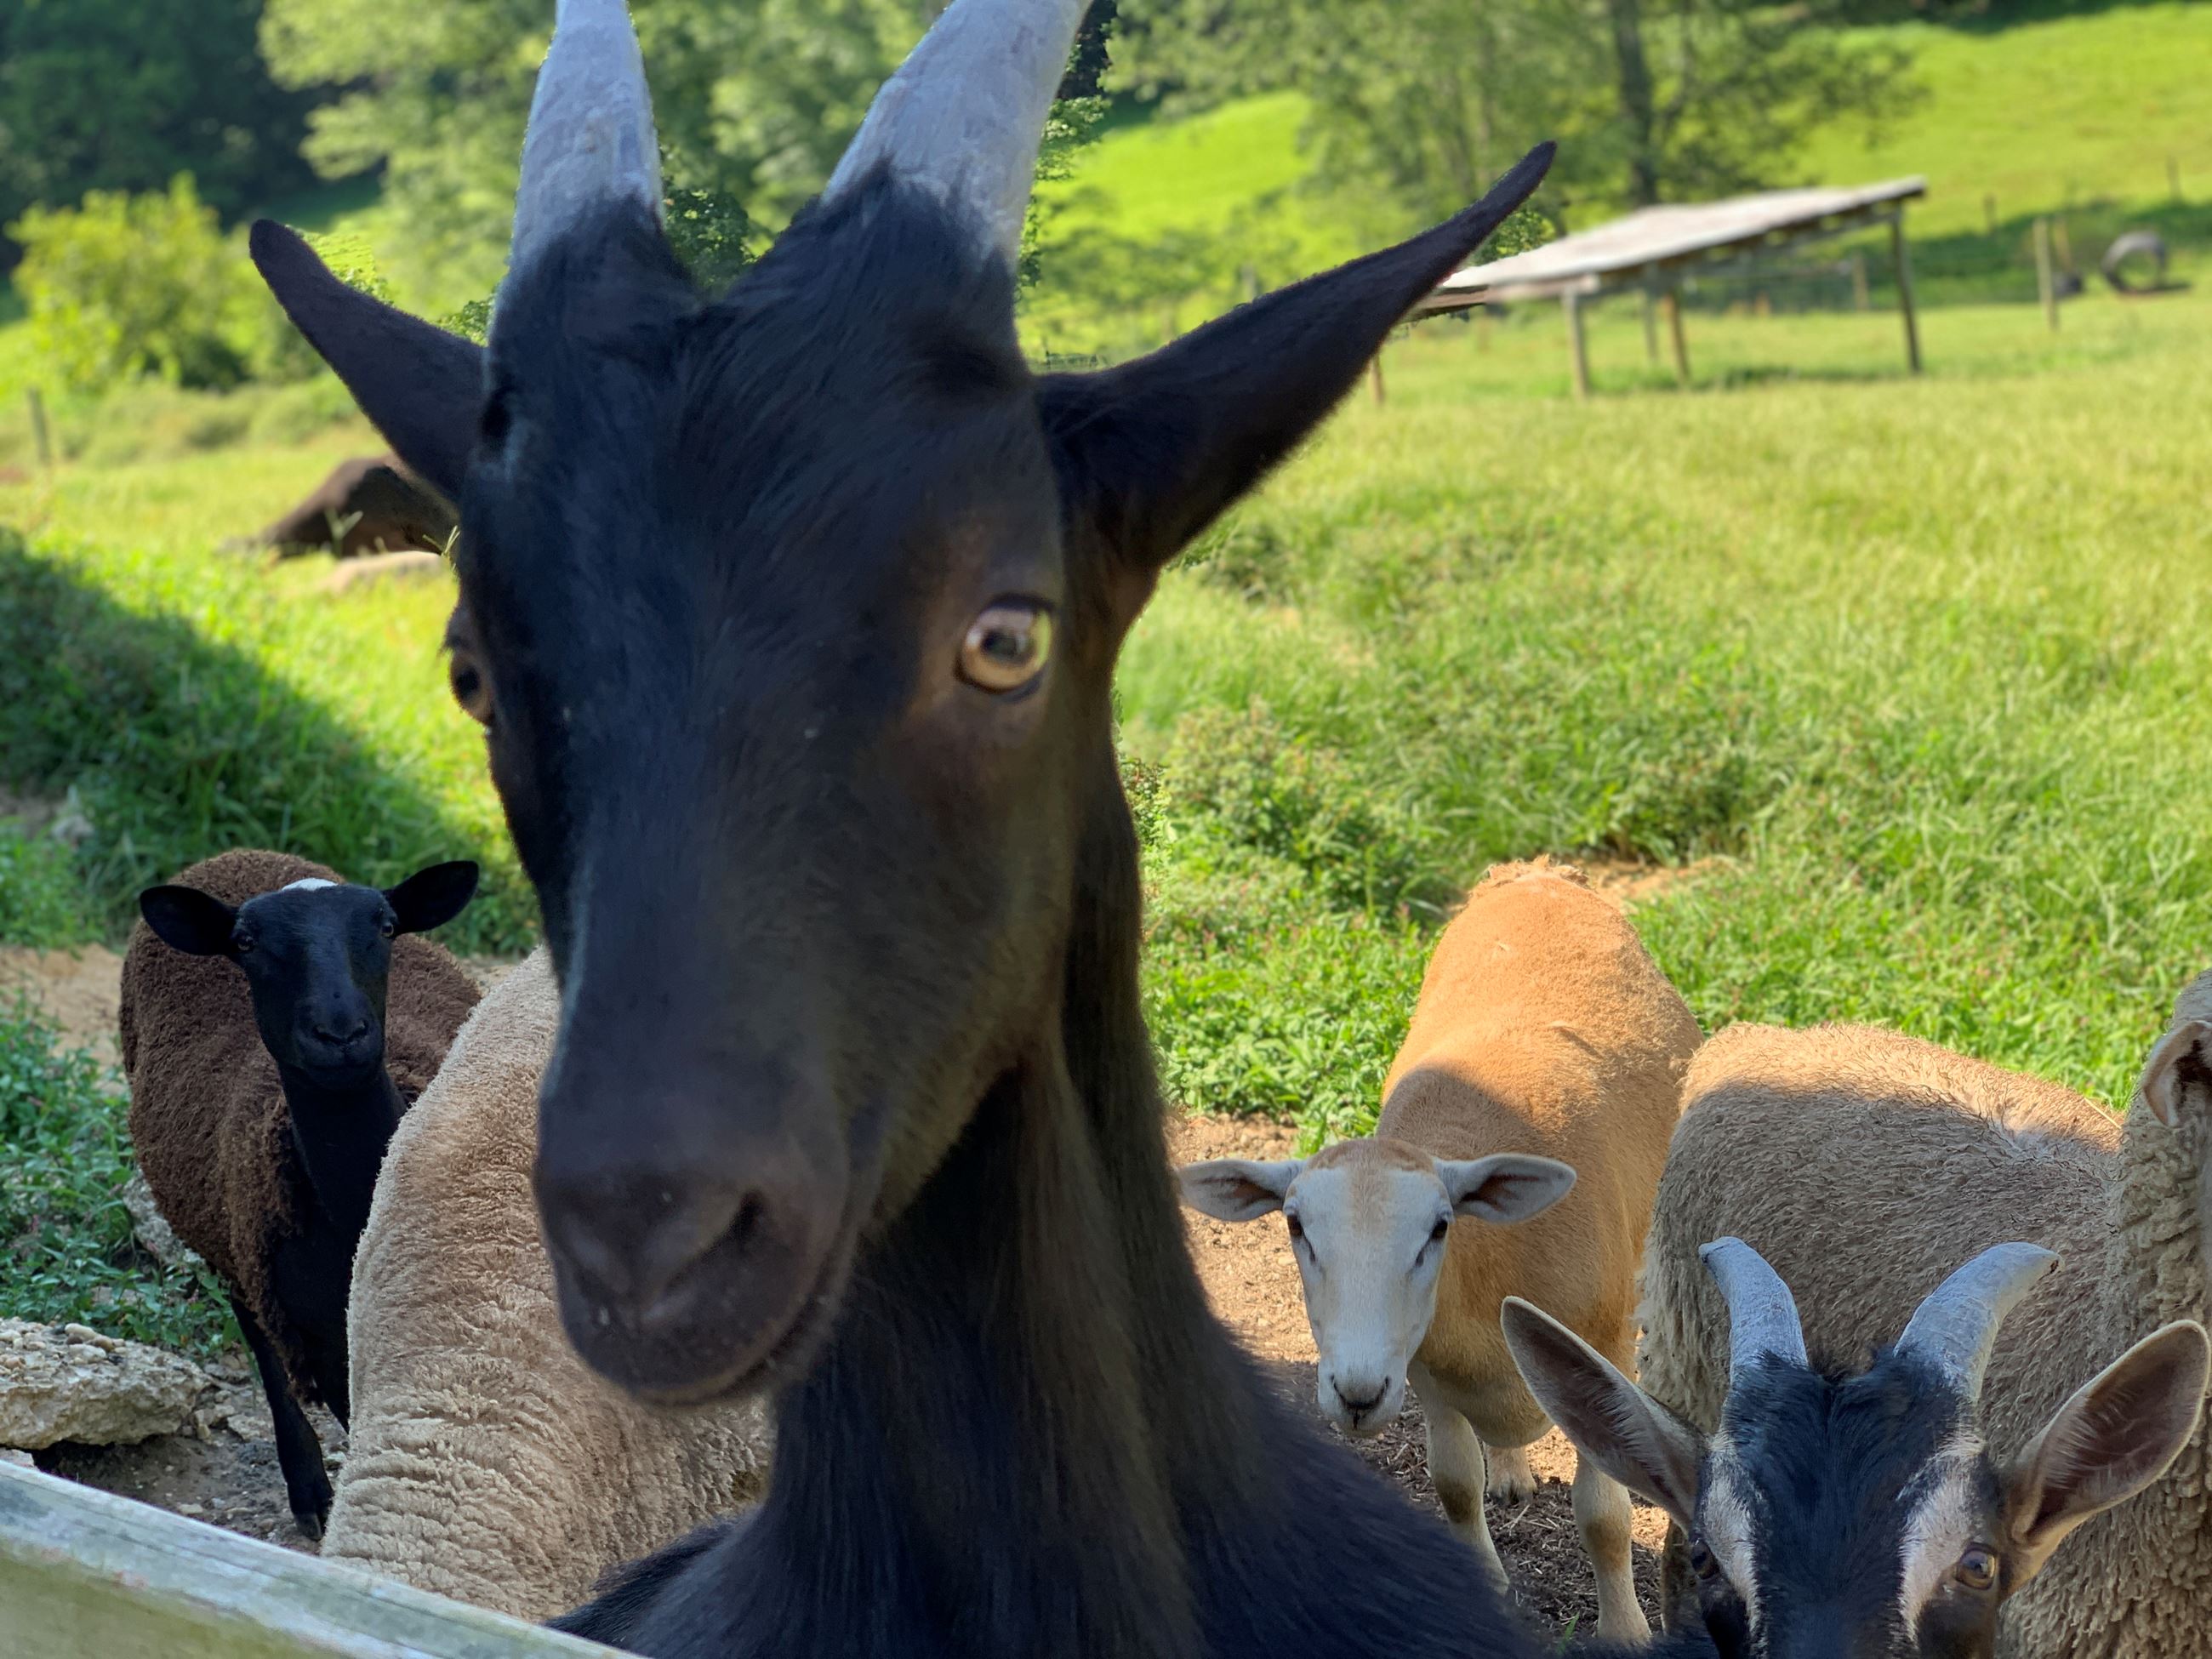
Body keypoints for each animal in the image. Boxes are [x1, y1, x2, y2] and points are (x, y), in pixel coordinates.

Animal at [121, 849, 478, 1537]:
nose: (339, 1034)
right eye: (246, 943)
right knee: (259, 1336)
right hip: (235, 1243)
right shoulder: (327, 1342)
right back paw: (308, 1488)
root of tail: (228, 857)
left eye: (387, 926)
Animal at [1179, 859, 1700, 1640]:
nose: (1356, 1395)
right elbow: (1454, 1485)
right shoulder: (1421, 1365)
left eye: (1437, 1229)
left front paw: (1626, 1633)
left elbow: (1604, 1517)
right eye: (1295, 1225)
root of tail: (1536, 871)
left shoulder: (1605, 1345)